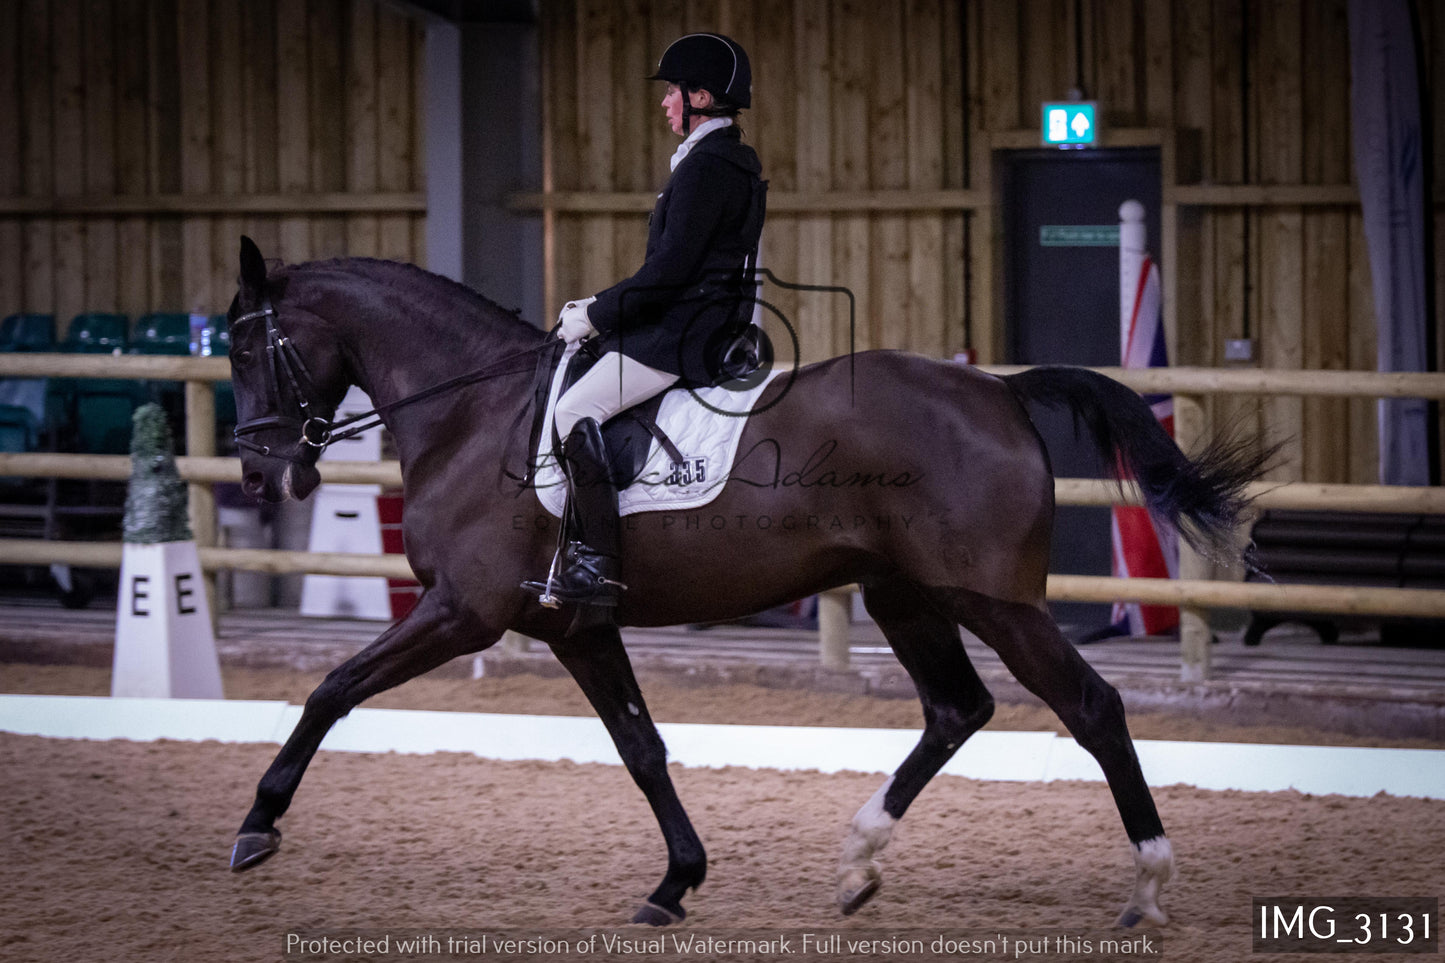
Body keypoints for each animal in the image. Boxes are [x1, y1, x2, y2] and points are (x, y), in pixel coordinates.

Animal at [222, 235, 1265, 925]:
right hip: (901, 593)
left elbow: (332, 689)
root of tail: (999, 389)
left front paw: (257, 825)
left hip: (993, 601)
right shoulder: (576, 626)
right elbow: (642, 749)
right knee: (956, 708)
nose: (262, 476)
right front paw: (675, 882)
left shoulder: (462, 611)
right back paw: (857, 862)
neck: (473, 412)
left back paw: (1147, 884)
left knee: (1089, 707)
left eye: (238, 346)